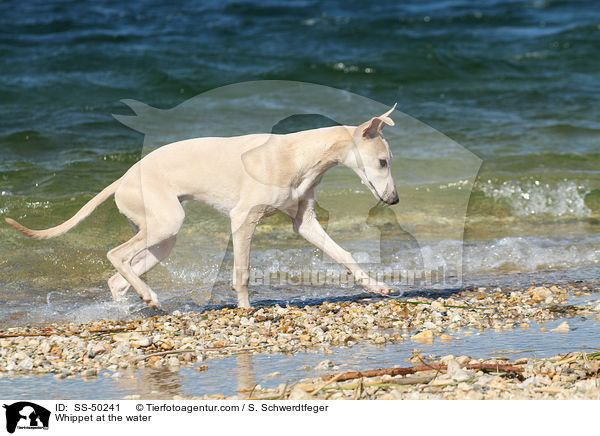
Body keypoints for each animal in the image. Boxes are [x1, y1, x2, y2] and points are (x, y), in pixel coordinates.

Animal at [5, 104, 398, 310]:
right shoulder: (243, 219)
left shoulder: (305, 223)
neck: (300, 154)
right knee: (115, 255)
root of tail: (122, 179)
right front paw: (245, 310)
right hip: (166, 223)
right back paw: (147, 295)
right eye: (382, 162)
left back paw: (137, 304)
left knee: (118, 278)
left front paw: (377, 286)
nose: (394, 199)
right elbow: (241, 271)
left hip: (162, 239)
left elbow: (344, 254)